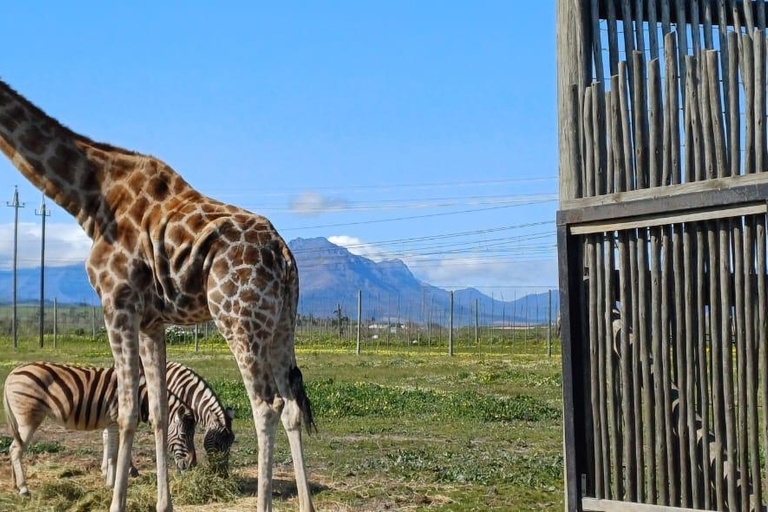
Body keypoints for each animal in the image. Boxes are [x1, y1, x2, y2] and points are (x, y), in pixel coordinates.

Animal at [4, 360, 196, 496]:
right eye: (184, 435)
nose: (192, 465)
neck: (140, 397)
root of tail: (12, 373)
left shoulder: (111, 424)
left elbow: (112, 454)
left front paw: (110, 481)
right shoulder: (114, 422)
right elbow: (114, 456)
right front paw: (113, 484)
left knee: (14, 448)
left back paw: (14, 484)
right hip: (28, 418)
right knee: (15, 449)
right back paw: (23, 489)